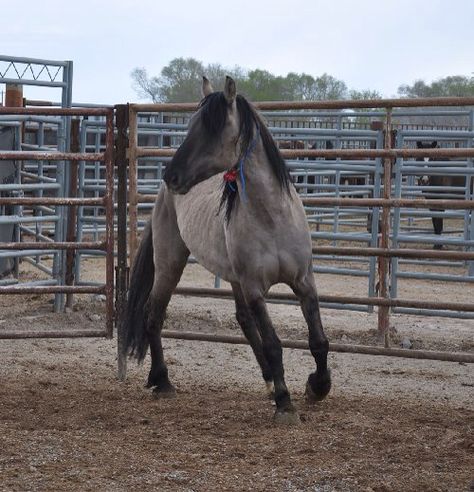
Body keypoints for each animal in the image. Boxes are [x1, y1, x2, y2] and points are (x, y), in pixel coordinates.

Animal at [124, 75, 332, 424]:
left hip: (232, 278)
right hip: (171, 264)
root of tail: (163, 195)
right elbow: (274, 344)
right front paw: (285, 403)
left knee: (243, 321)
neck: (272, 218)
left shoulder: (304, 281)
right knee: (154, 313)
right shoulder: (255, 288)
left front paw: (317, 386)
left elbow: (317, 340)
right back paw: (162, 381)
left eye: (212, 128)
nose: (171, 175)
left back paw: (267, 381)